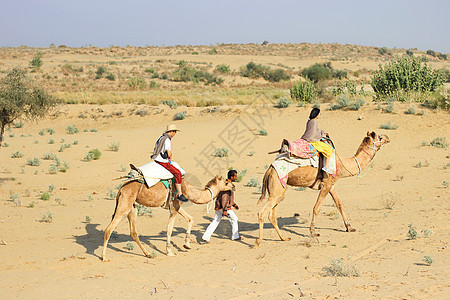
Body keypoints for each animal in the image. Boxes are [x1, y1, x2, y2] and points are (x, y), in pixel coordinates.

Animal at [102, 176, 236, 260]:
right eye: (226, 182)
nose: (234, 186)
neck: (188, 189)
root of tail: (121, 189)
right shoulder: (175, 206)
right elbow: (169, 229)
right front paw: (170, 252)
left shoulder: (176, 205)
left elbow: (190, 218)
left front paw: (187, 244)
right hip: (124, 204)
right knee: (108, 229)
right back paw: (104, 257)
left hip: (132, 207)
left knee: (133, 232)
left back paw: (148, 254)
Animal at [256, 131, 390, 246]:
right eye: (379, 137)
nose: (388, 137)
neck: (342, 164)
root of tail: (269, 170)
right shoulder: (326, 184)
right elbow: (317, 208)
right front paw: (313, 232)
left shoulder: (332, 184)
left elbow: (340, 204)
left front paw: (349, 227)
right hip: (277, 186)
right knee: (262, 213)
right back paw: (258, 242)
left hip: (279, 190)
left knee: (272, 215)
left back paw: (284, 238)